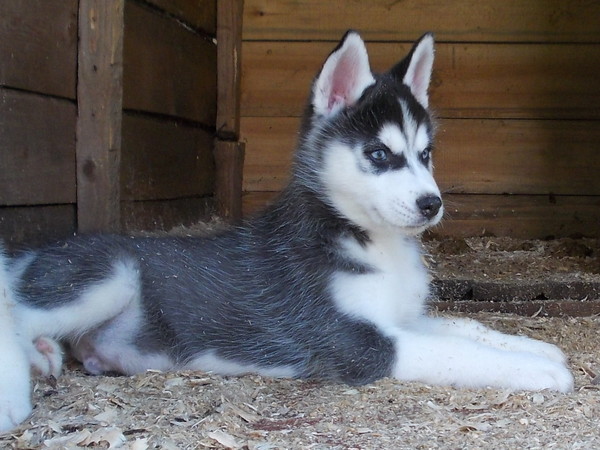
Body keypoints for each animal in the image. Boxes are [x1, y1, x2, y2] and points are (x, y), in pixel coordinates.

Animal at [0, 31, 572, 432]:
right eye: (379, 155)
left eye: (425, 154)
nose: (431, 204)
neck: (368, 241)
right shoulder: (353, 341)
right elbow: (461, 352)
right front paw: (536, 371)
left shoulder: (398, 319)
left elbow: (466, 327)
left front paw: (534, 348)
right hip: (109, 275)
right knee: (16, 314)